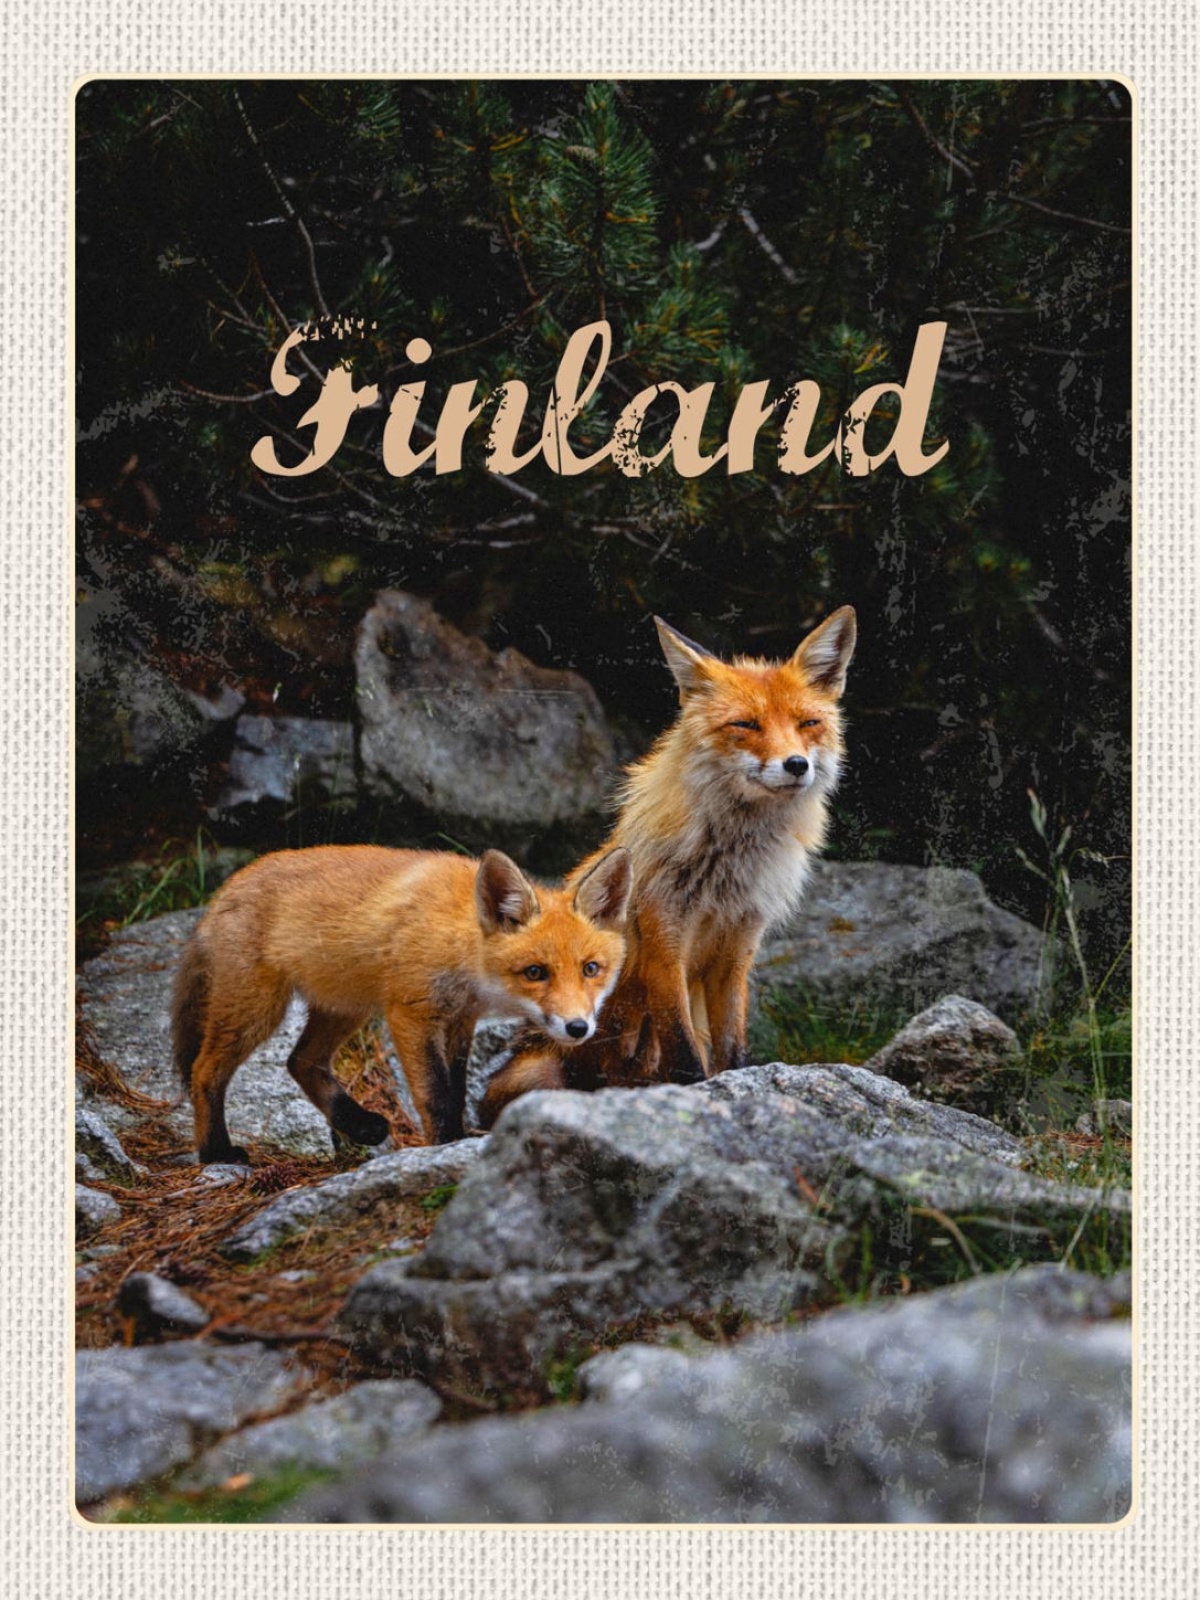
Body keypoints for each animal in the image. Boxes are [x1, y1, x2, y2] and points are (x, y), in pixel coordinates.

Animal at [171, 842, 632, 1163]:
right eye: (535, 972)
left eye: (591, 968)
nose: (578, 1028)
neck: (458, 942)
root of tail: (223, 891)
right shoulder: (410, 1014)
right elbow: (434, 1094)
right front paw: (445, 1145)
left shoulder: (460, 1020)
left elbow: (456, 1088)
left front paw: (456, 1139)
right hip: (257, 1009)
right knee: (204, 1071)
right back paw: (215, 1152)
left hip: (346, 1008)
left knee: (301, 1062)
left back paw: (357, 1124)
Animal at [479, 606, 856, 1125]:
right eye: (746, 725)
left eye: (808, 722)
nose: (797, 764)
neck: (727, 871)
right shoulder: (664, 946)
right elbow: (684, 1056)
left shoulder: (737, 953)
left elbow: (733, 1051)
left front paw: (743, 1086)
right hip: (540, 1074)